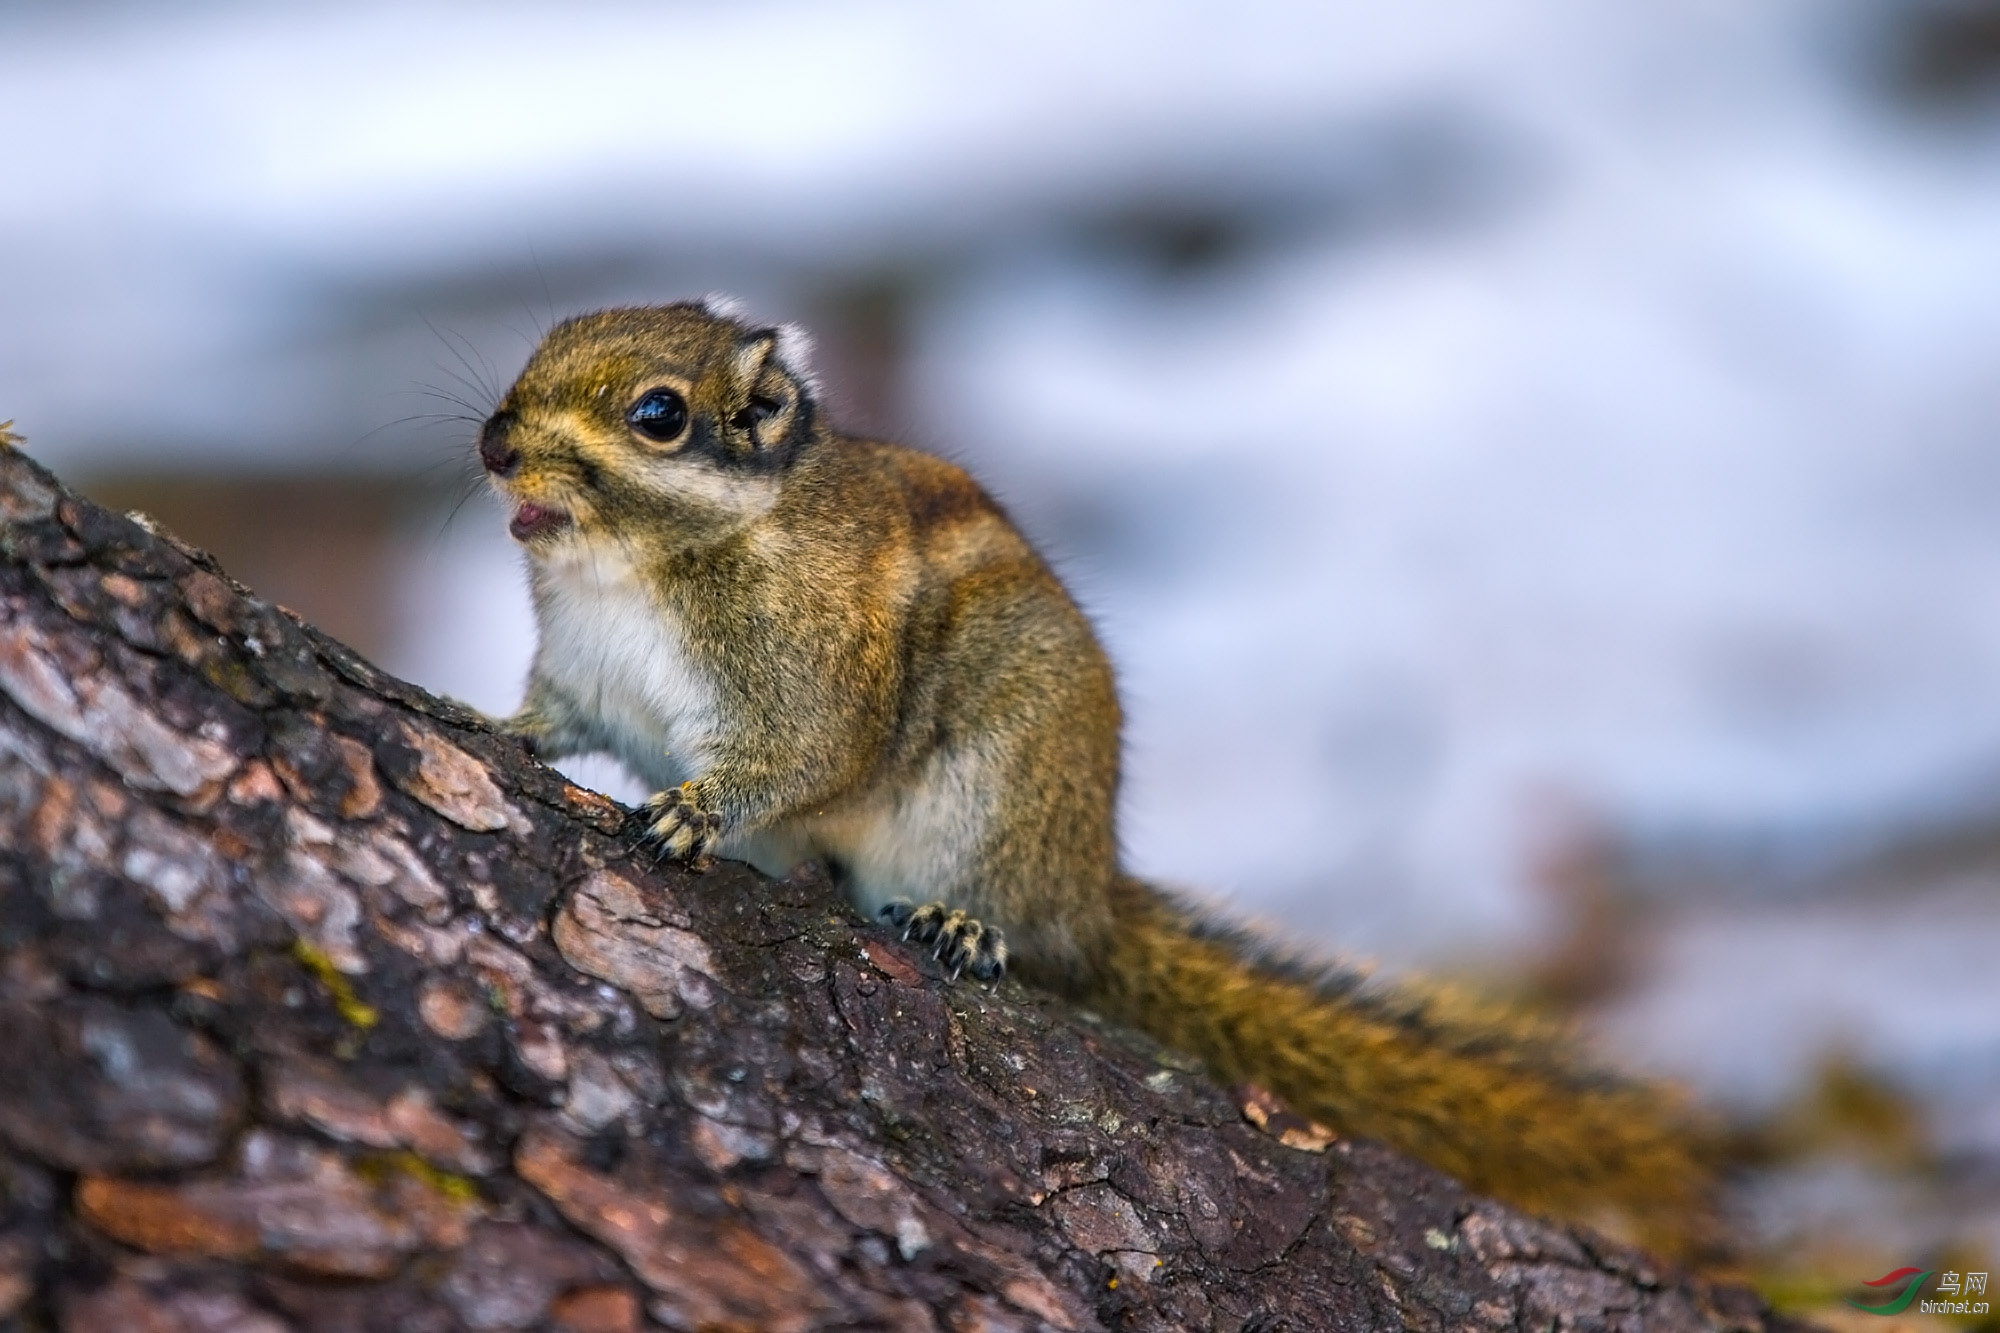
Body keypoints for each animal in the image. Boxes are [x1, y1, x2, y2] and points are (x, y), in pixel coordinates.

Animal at [476, 296, 1712, 1248]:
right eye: (548, 340)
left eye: (659, 414)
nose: (494, 445)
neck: (630, 568)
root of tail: (1090, 887)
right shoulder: (584, 675)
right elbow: (551, 715)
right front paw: (497, 726)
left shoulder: (809, 685)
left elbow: (796, 760)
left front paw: (692, 810)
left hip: (993, 798)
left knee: (1012, 922)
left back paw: (965, 925)